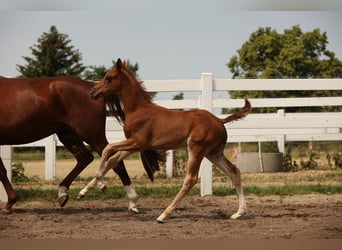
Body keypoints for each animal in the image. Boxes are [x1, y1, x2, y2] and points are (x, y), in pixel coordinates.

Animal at [0, 76, 162, 213]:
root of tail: (93, 88)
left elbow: (2, 171)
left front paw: (10, 203)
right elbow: (2, 171)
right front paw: (10, 203)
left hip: (91, 135)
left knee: (114, 161)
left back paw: (132, 203)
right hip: (66, 133)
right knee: (85, 158)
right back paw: (63, 193)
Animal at [79, 59, 251, 223]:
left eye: (109, 77)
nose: (92, 92)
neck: (138, 110)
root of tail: (220, 121)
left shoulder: (137, 142)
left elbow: (108, 148)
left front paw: (99, 184)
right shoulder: (135, 145)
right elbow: (112, 159)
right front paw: (83, 191)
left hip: (196, 149)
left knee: (191, 179)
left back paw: (163, 215)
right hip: (213, 153)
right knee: (234, 172)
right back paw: (238, 213)